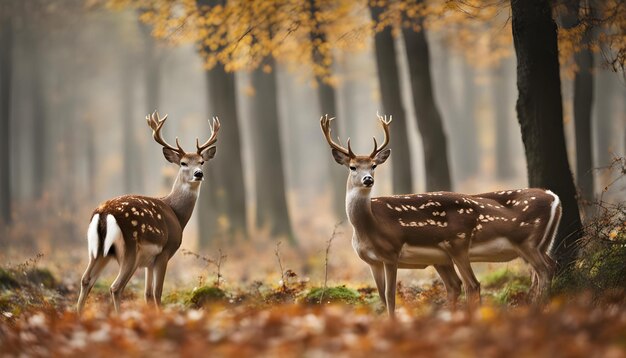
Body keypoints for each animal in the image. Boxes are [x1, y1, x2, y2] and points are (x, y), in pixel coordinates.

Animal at [77, 110, 221, 314]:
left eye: (202, 162)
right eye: (183, 163)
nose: (199, 174)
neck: (177, 214)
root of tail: (103, 213)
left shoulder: (148, 261)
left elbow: (147, 294)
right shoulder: (165, 250)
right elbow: (156, 293)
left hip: (97, 250)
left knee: (86, 280)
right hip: (129, 249)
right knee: (115, 287)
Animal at [320, 113, 560, 318]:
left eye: (374, 165)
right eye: (352, 167)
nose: (368, 179)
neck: (368, 227)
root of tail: (554, 197)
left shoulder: (391, 252)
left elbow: (390, 296)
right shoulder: (372, 262)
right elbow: (381, 295)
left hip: (478, 242)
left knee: (482, 282)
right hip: (518, 246)